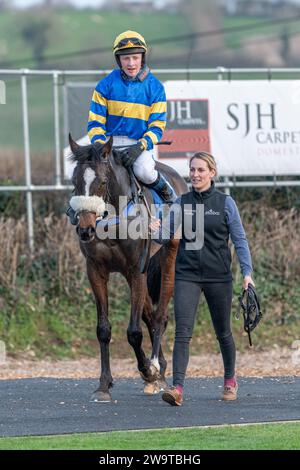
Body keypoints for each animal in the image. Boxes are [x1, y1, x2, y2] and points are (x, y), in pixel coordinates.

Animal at [67, 134, 188, 402]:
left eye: (102, 182)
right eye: (74, 181)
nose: (85, 228)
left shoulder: (136, 269)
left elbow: (133, 331)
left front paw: (147, 369)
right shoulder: (96, 270)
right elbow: (103, 329)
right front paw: (104, 385)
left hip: (168, 255)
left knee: (160, 316)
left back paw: (155, 368)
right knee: (150, 315)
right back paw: (159, 371)